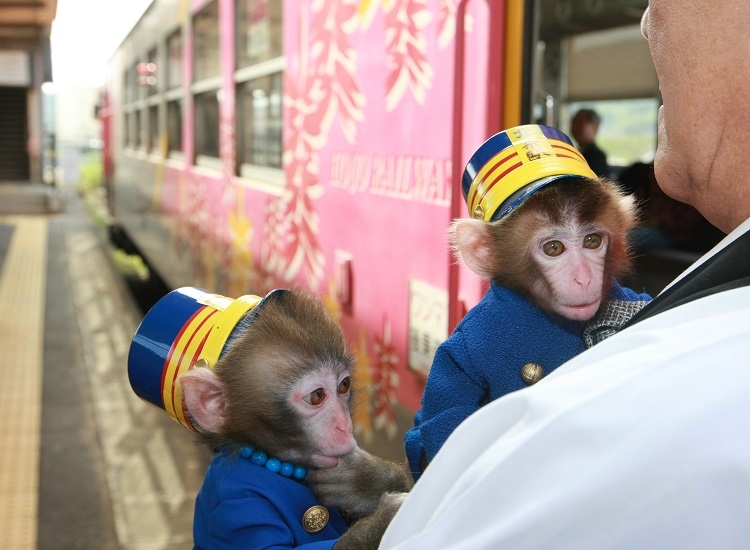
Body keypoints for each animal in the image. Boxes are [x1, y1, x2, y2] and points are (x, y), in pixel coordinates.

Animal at [171, 288, 414, 550]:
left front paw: (367, 481)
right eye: (316, 396)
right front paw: (389, 519)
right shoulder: (237, 503)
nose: (344, 426)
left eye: (344, 385)